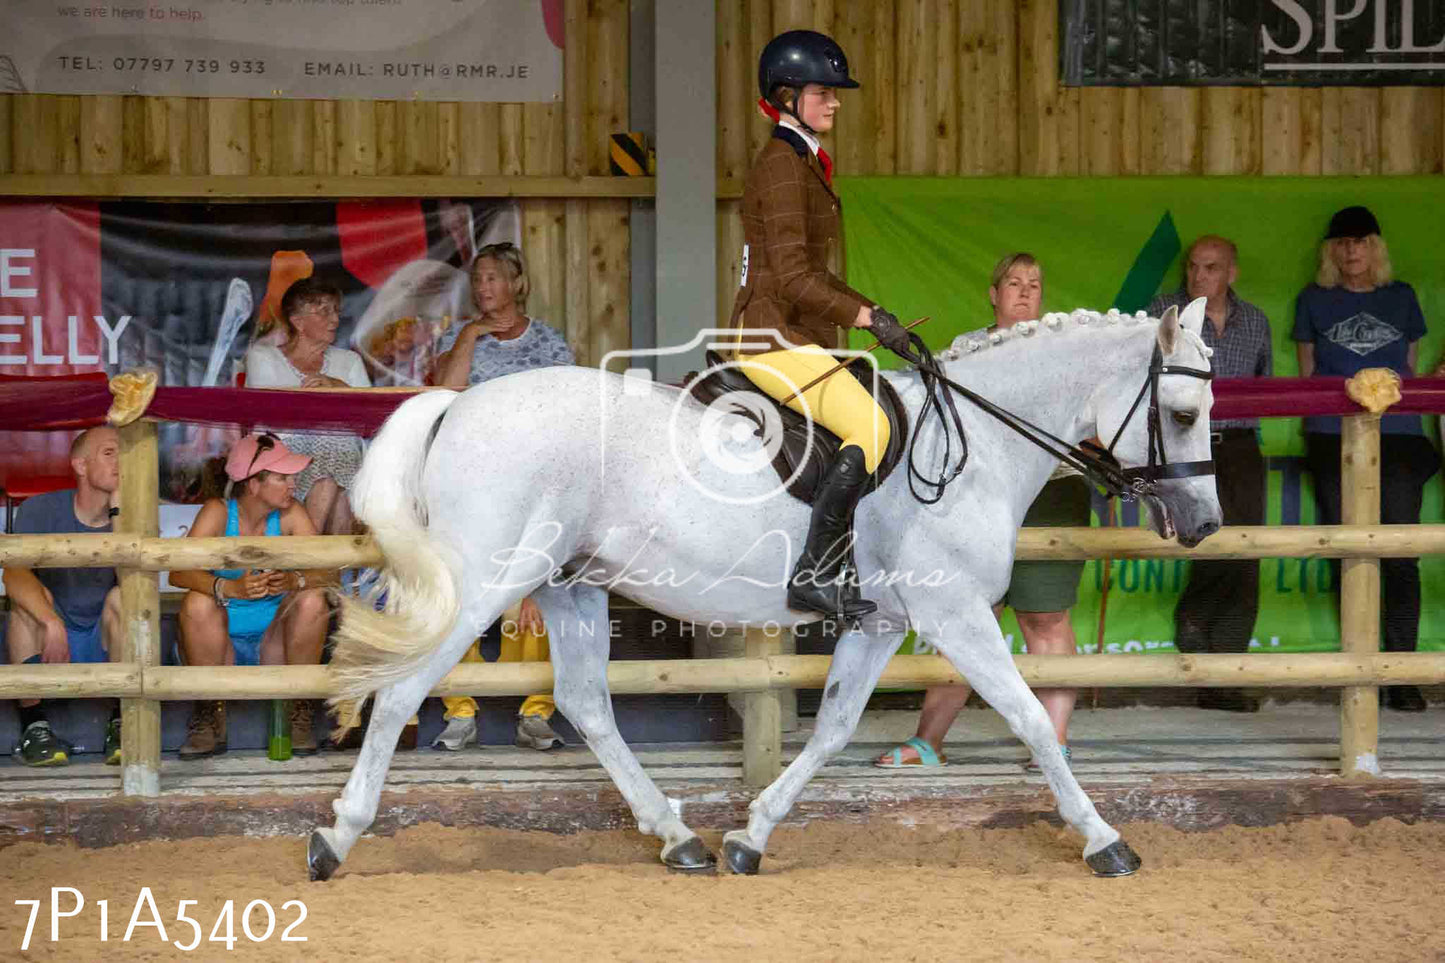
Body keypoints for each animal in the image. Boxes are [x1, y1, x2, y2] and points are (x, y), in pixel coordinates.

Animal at [304, 297, 1219, 879]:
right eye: (1179, 413)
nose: (1204, 522)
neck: (975, 449)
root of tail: (457, 404)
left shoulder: (878, 622)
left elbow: (835, 728)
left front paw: (750, 834)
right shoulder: (953, 612)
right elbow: (1032, 719)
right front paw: (1104, 840)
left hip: (571, 584)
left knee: (585, 703)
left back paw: (679, 838)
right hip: (486, 582)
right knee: (400, 693)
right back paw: (336, 836)